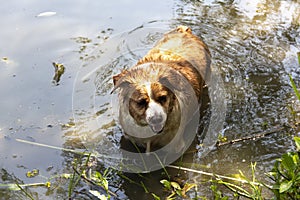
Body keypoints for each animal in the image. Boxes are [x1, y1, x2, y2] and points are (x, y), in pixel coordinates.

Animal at [112, 25, 211, 153]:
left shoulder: (176, 147)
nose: (157, 119)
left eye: (162, 98)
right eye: (141, 102)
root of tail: (184, 31)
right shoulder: (130, 140)